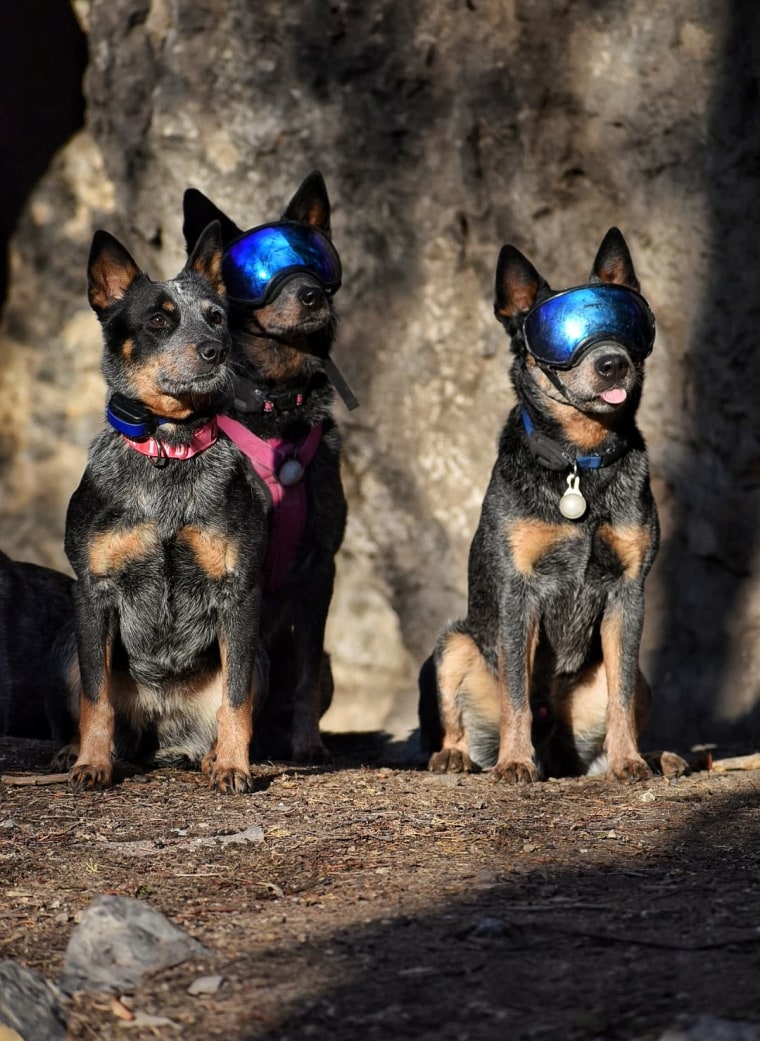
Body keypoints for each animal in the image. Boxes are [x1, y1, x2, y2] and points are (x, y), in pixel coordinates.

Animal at [63, 217, 268, 786]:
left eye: (217, 318)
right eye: (158, 319)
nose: (216, 350)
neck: (168, 450)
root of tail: (166, 736)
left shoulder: (241, 594)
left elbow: (236, 698)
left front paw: (234, 765)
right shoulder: (92, 592)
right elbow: (96, 698)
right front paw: (91, 763)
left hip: (262, 654)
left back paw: (212, 756)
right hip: (68, 651)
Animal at [182, 172, 349, 766]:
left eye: (317, 261)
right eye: (258, 271)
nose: (312, 295)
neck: (277, 401)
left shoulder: (321, 566)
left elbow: (302, 673)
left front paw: (309, 744)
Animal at [416, 227, 662, 782]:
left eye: (627, 323)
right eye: (561, 335)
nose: (612, 362)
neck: (580, 462)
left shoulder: (629, 590)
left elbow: (620, 696)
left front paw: (630, 760)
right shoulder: (518, 589)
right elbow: (516, 693)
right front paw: (514, 760)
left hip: (635, 672)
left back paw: (664, 756)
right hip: (454, 644)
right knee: (459, 719)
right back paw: (455, 755)